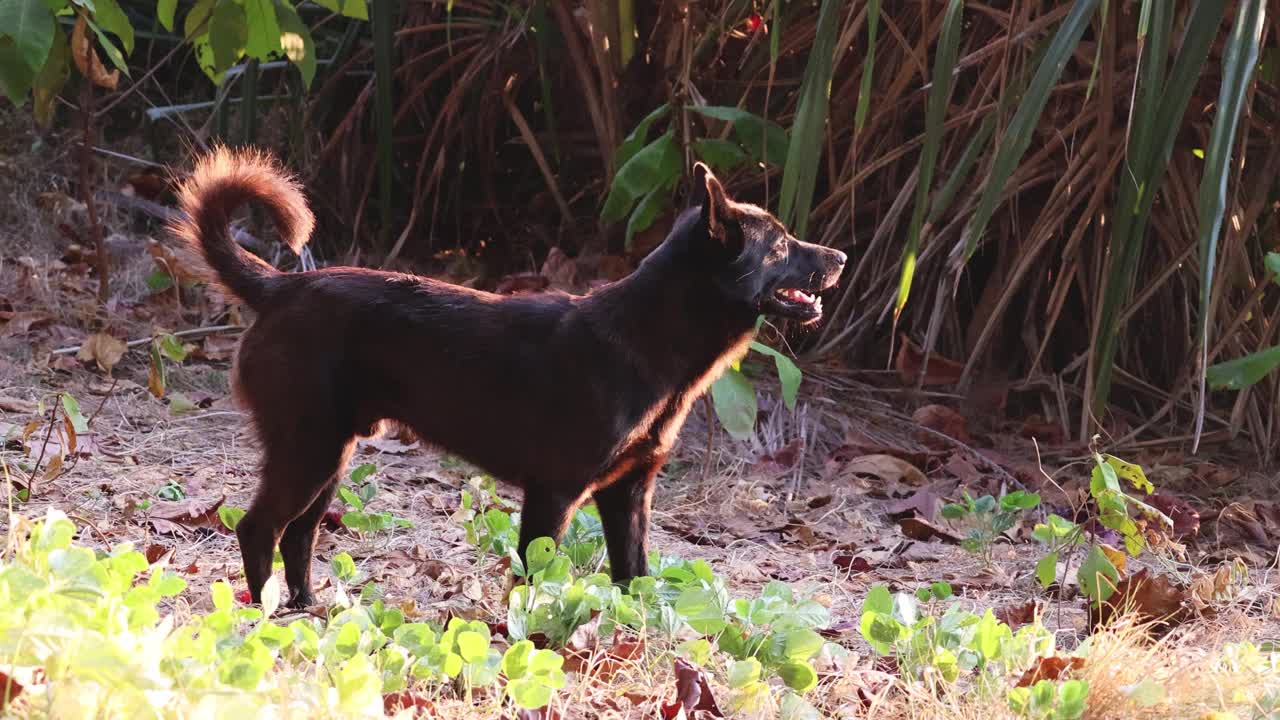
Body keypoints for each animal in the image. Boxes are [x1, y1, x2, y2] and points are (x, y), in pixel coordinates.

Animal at [172, 147, 849, 604]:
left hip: (330, 454)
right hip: (307, 448)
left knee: (297, 537)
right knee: (259, 529)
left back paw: (310, 612)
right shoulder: (554, 492)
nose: (842, 256)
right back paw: (261, 619)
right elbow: (534, 576)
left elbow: (634, 576)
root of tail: (279, 287)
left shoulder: (628, 493)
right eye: (781, 245)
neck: (647, 339)